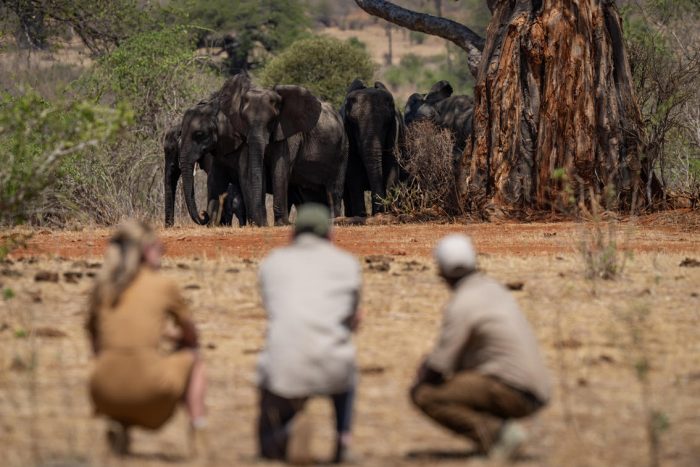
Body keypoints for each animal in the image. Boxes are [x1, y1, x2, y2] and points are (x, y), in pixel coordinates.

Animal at [340, 80, 404, 218]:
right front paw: (361, 215)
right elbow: (353, 171)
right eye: (353, 123)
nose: (379, 212)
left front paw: (387, 212)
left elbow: (392, 166)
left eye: (386, 124)